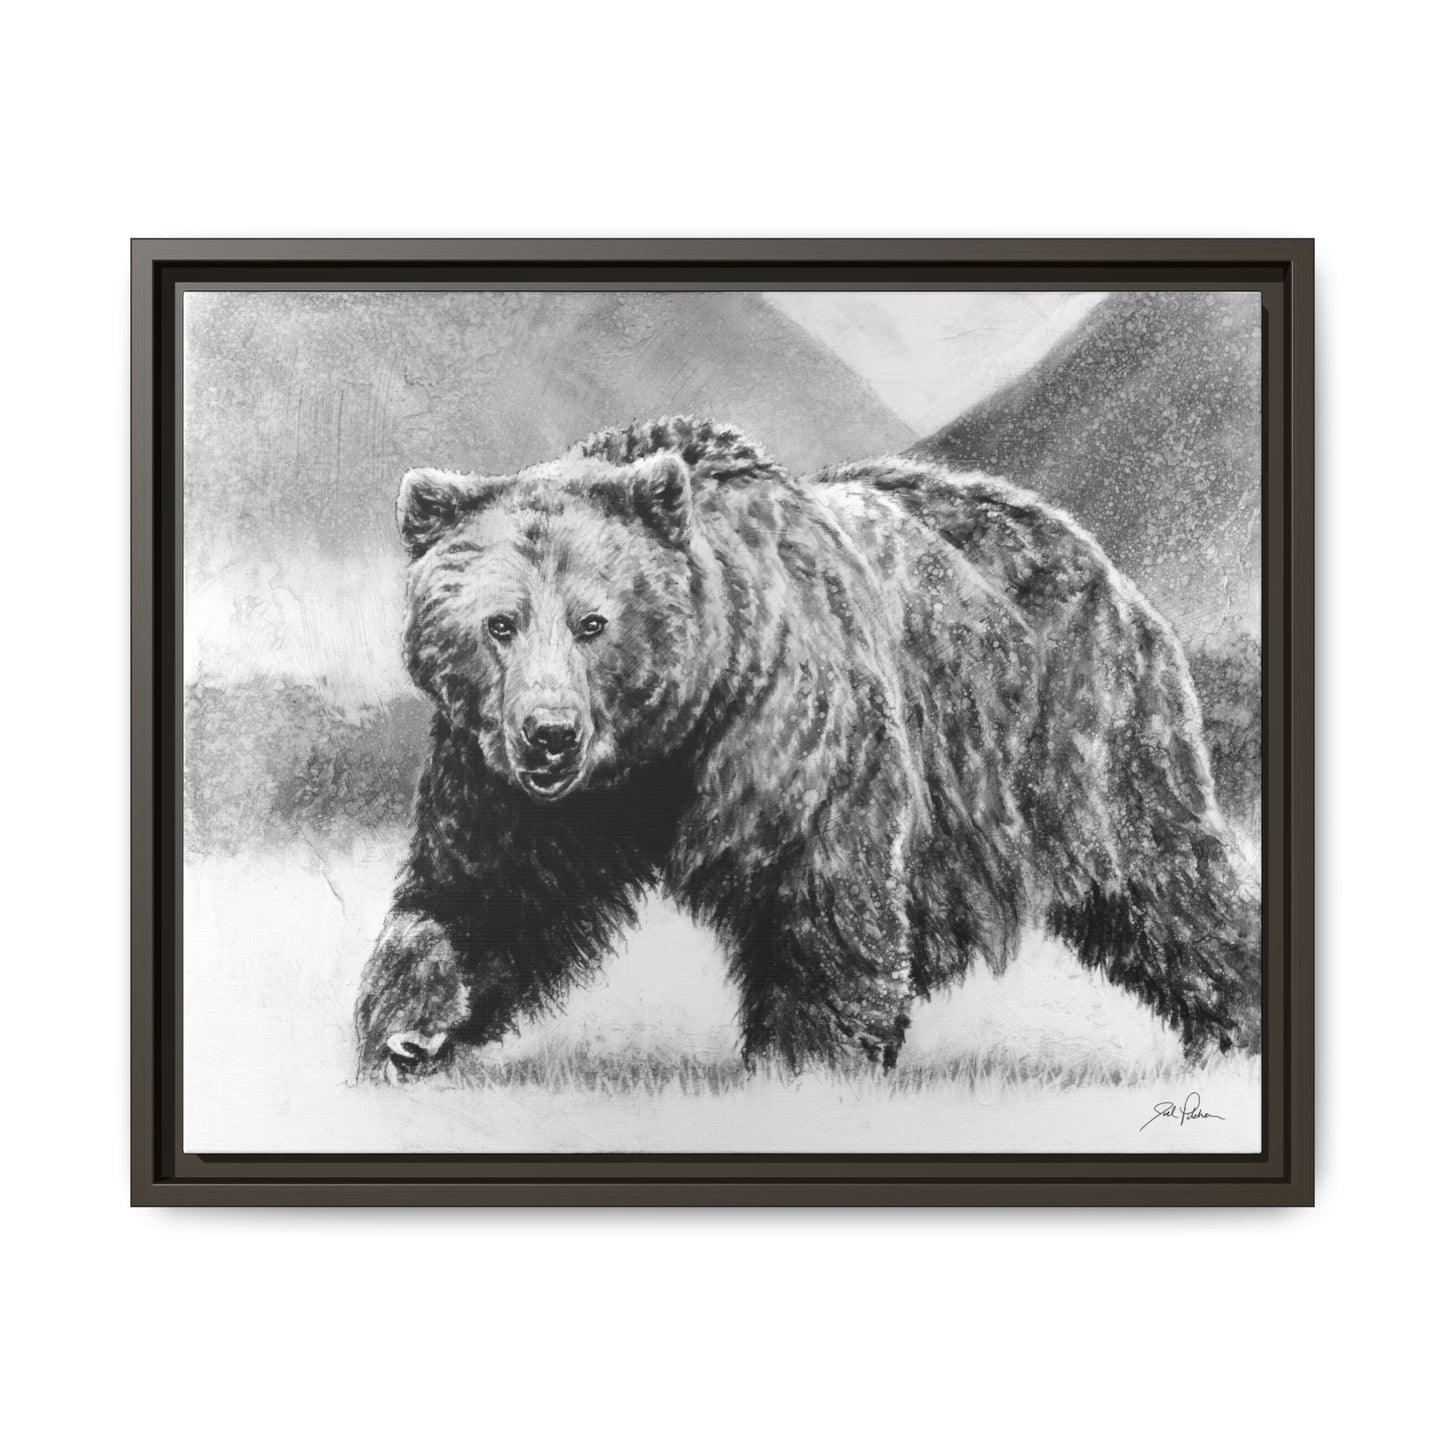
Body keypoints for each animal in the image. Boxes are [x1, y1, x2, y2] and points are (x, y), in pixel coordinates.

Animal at [355, 416, 1260, 1081]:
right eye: (498, 623)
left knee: (1167, 883)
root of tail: (1093, 551)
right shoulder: (506, 779)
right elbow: (482, 890)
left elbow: (822, 890)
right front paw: (406, 1032)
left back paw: (1235, 1024)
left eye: (593, 620)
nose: (549, 733)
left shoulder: (794, 730)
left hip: (1081, 734)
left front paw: (805, 1062)